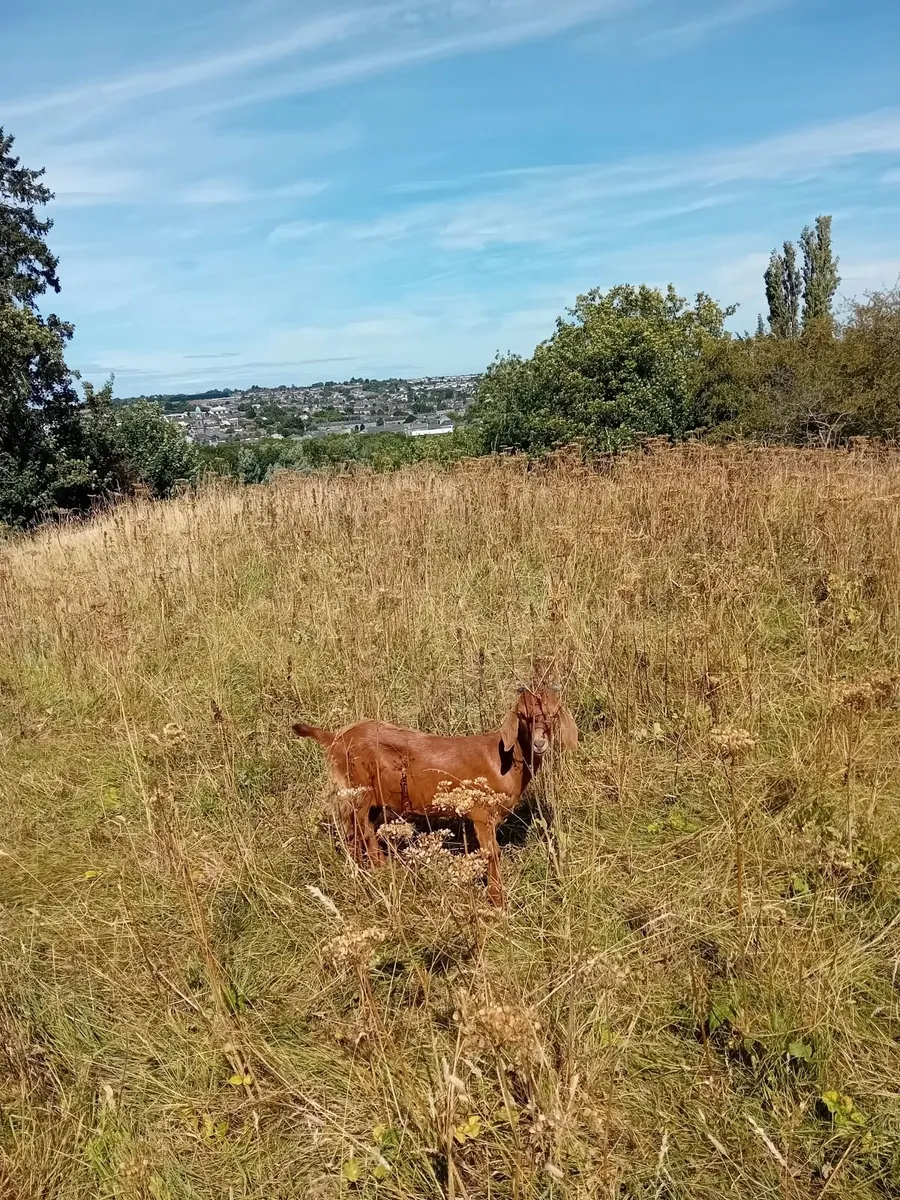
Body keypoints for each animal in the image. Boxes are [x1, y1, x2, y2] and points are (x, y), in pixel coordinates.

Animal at [292, 685, 578, 905]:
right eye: (522, 715)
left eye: (554, 715)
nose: (540, 743)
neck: (502, 760)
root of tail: (334, 738)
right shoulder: (480, 813)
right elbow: (492, 853)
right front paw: (498, 902)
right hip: (356, 791)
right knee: (357, 833)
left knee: (363, 830)